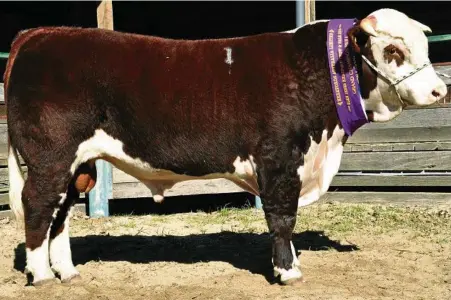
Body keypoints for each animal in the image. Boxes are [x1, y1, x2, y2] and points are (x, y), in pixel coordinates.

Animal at [4, 8, 448, 286]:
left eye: (424, 47)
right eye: (393, 50)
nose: (438, 90)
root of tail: (40, 33)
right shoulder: (279, 159)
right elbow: (282, 218)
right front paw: (288, 272)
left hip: (75, 165)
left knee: (60, 215)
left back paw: (66, 273)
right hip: (50, 158)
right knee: (39, 207)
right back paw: (41, 276)